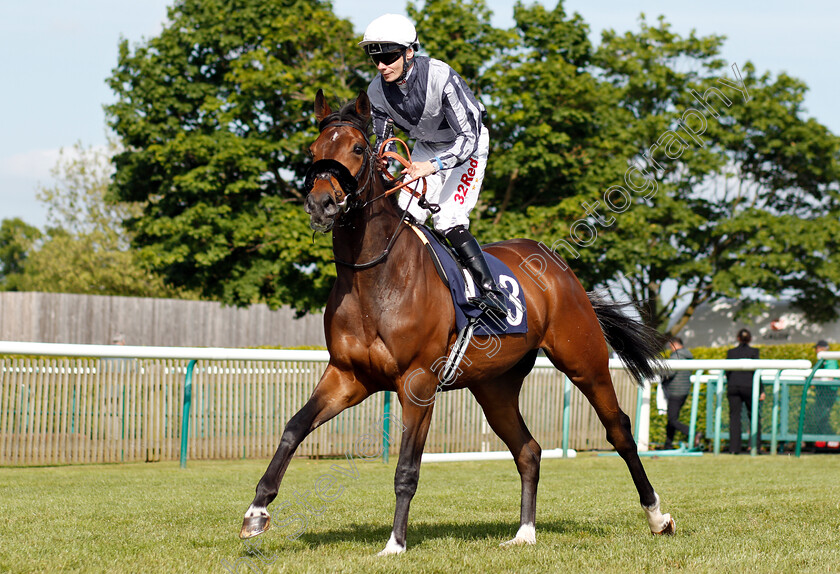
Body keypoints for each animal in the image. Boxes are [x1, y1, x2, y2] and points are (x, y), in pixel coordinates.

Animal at [240, 91, 672, 560]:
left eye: (356, 148)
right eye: (313, 149)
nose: (322, 204)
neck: (376, 278)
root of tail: (558, 267)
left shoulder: (418, 383)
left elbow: (407, 468)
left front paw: (395, 543)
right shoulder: (348, 376)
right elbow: (293, 428)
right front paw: (256, 512)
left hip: (584, 361)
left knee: (619, 431)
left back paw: (657, 516)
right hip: (495, 386)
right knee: (528, 450)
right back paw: (524, 532)